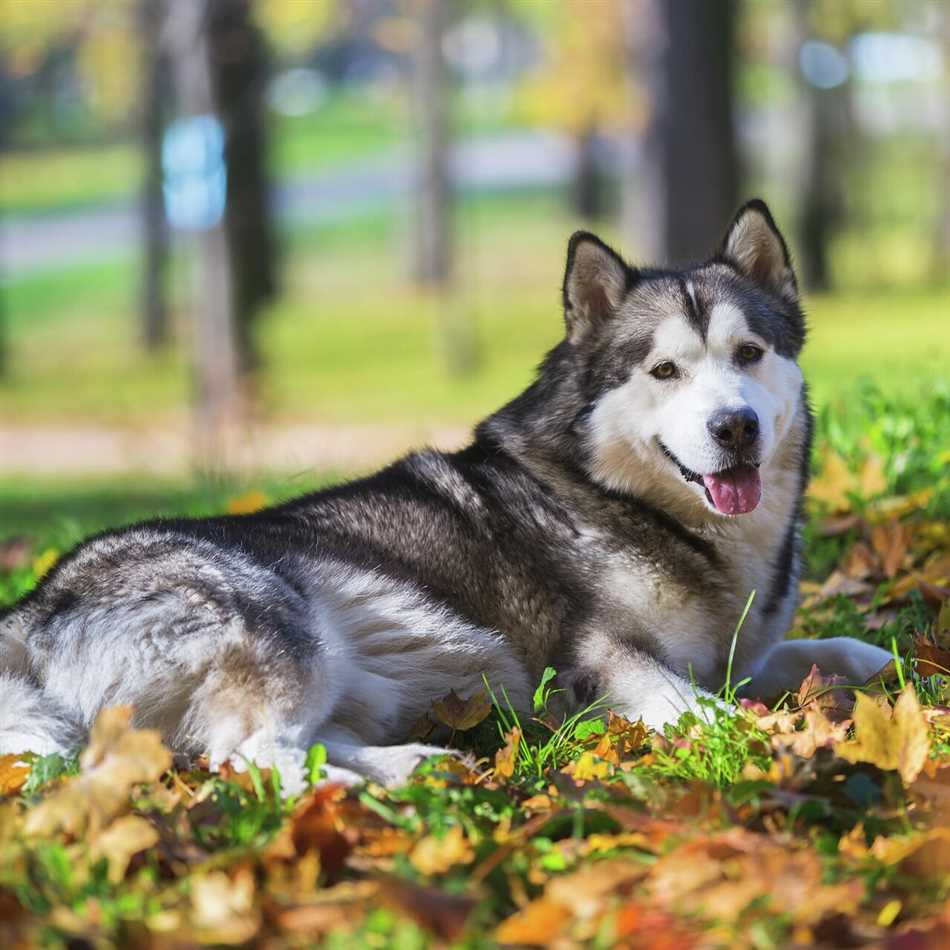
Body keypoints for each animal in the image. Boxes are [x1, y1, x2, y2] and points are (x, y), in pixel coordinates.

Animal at [0, 199, 892, 788]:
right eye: (665, 371)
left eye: (749, 354)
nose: (734, 427)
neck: (630, 504)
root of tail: (32, 604)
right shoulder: (600, 663)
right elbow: (702, 707)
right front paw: (764, 738)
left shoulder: (740, 654)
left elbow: (816, 652)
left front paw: (880, 663)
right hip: (274, 622)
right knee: (247, 756)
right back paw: (355, 787)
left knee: (280, 742)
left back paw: (414, 765)